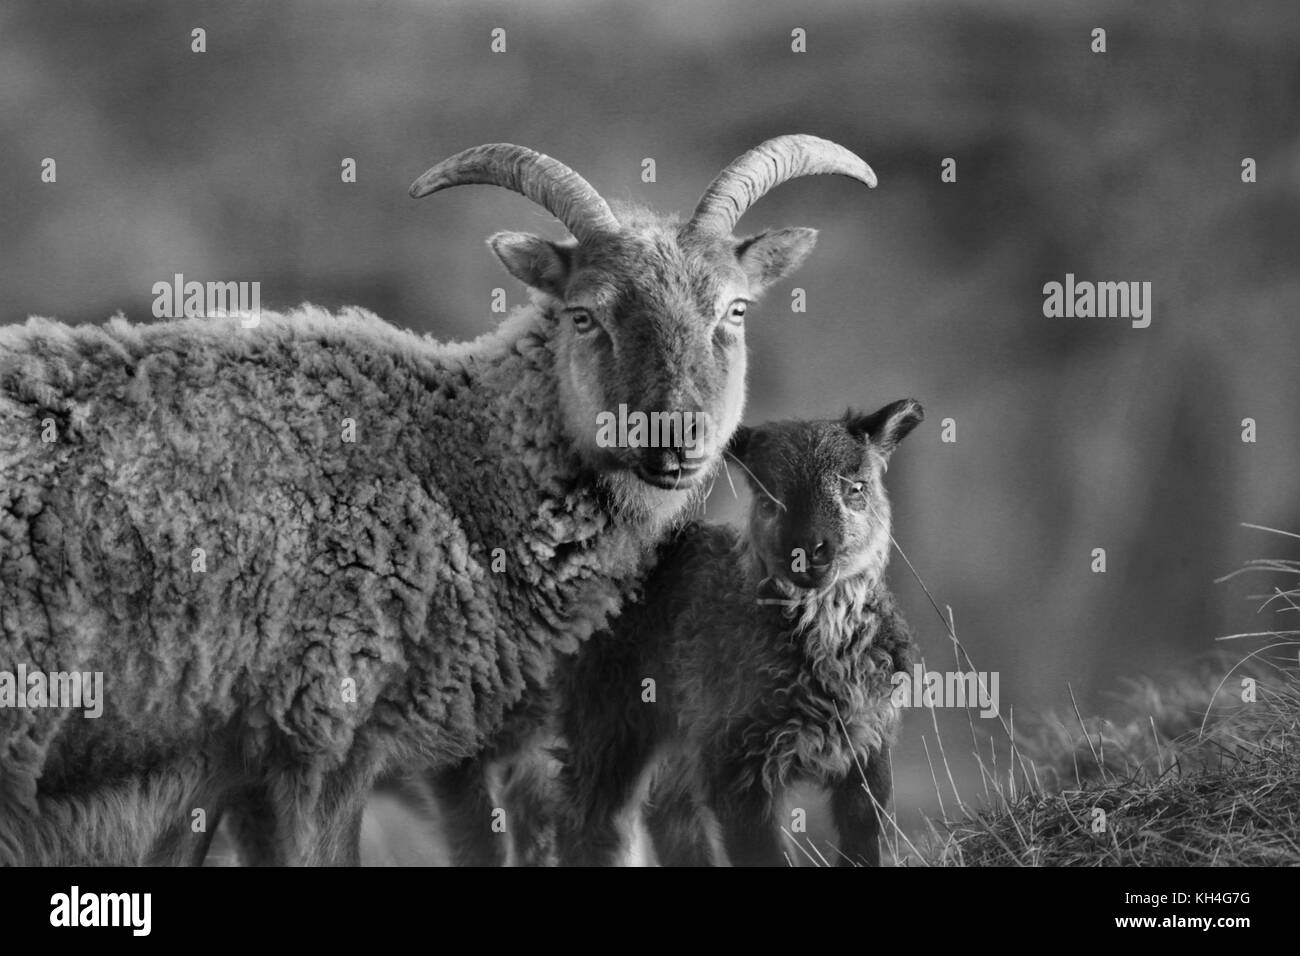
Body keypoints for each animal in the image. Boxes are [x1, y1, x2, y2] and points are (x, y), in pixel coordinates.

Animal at [0, 135, 877, 865]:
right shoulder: (324, 734)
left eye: (735, 310)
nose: (676, 437)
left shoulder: (224, 769)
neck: (452, 460)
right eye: (584, 314)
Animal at [552, 399, 923, 866]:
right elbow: (762, 853)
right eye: (767, 496)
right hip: (606, 711)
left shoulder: (868, 743)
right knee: (591, 820)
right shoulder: (735, 759)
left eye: (857, 487)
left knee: (672, 812)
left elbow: (864, 839)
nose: (809, 551)